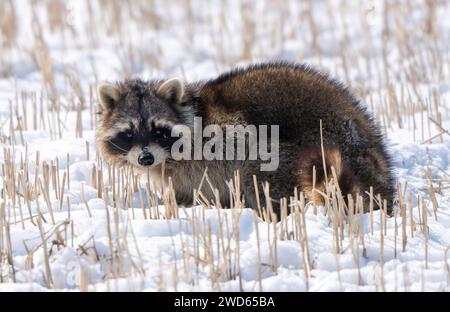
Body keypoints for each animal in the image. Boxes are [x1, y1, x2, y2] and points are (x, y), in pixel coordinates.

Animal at [95, 61, 394, 216]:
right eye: (129, 133)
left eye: (158, 130)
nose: (146, 158)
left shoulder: (224, 138)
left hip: (309, 145)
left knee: (264, 170)